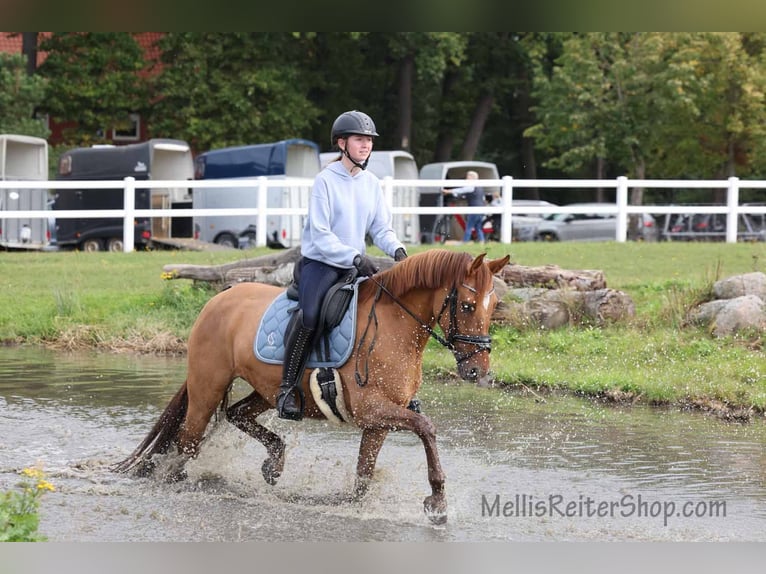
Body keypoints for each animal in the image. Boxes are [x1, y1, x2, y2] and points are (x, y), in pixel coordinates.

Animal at [113, 249, 510, 524]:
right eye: (468, 305)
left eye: (494, 306)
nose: (478, 370)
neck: (395, 327)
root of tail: (217, 298)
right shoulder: (372, 410)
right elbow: (427, 428)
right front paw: (438, 502)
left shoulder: (378, 421)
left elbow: (363, 477)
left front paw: (343, 503)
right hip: (207, 388)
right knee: (188, 444)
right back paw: (181, 482)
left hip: (267, 391)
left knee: (236, 413)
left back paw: (274, 464)